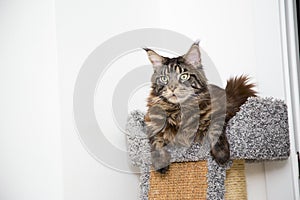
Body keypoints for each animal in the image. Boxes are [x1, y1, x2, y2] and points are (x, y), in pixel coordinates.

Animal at [143, 42, 255, 173]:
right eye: (164, 78)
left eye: (184, 76)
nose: (172, 88)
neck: (179, 110)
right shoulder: (151, 122)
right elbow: (156, 141)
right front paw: (160, 162)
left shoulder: (219, 113)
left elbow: (215, 131)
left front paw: (222, 155)